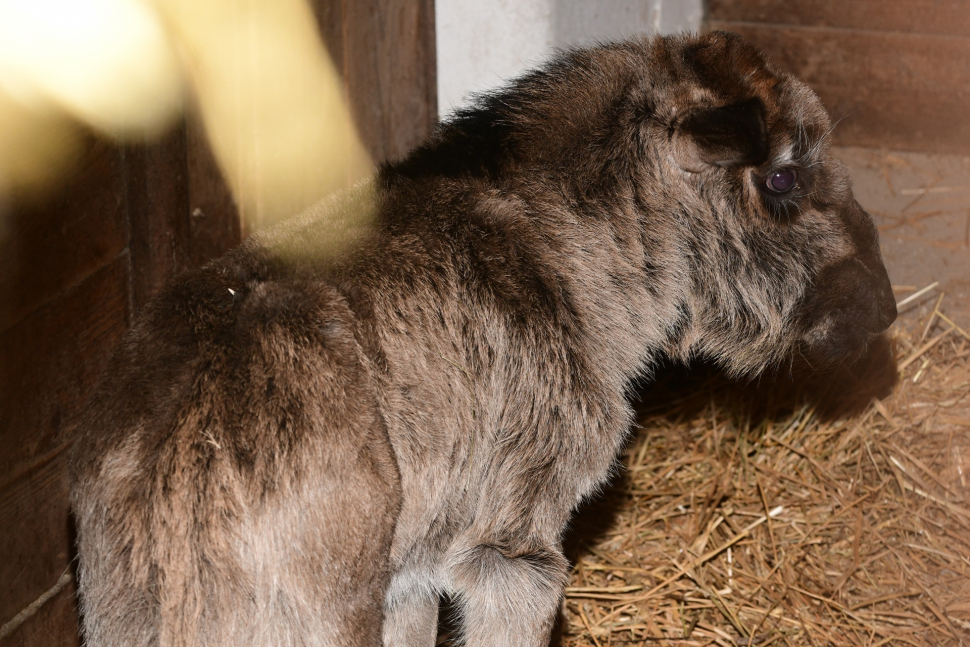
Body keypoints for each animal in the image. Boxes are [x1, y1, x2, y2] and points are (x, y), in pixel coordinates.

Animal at [72, 31, 896, 647]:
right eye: (784, 179)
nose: (882, 307)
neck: (576, 249)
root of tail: (187, 449)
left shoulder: (413, 575)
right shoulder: (511, 548)